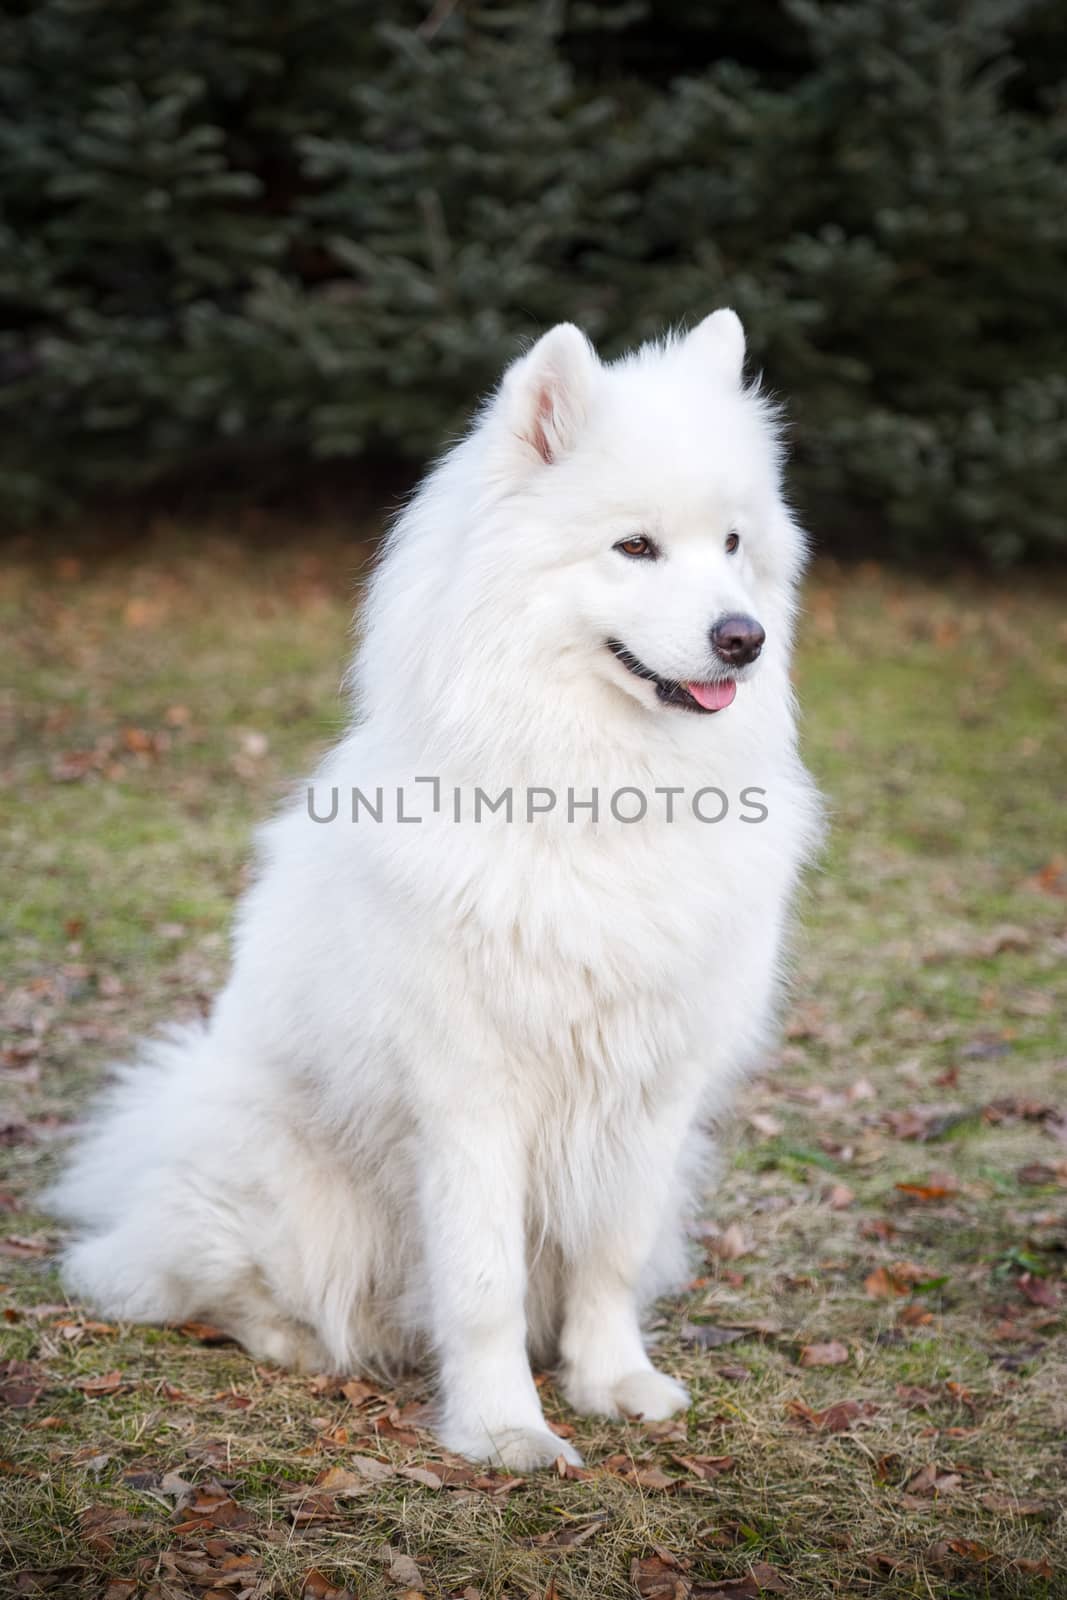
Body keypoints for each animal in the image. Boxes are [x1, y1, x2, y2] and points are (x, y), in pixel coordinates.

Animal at [49, 305, 825, 1465]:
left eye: (732, 545)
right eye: (634, 546)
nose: (745, 638)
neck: (596, 793)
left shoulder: (651, 1092)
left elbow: (607, 1254)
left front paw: (609, 1381)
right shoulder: (471, 1096)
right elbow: (480, 1282)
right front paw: (505, 1429)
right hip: (287, 1187)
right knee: (200, 1284)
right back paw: (298, 1342)